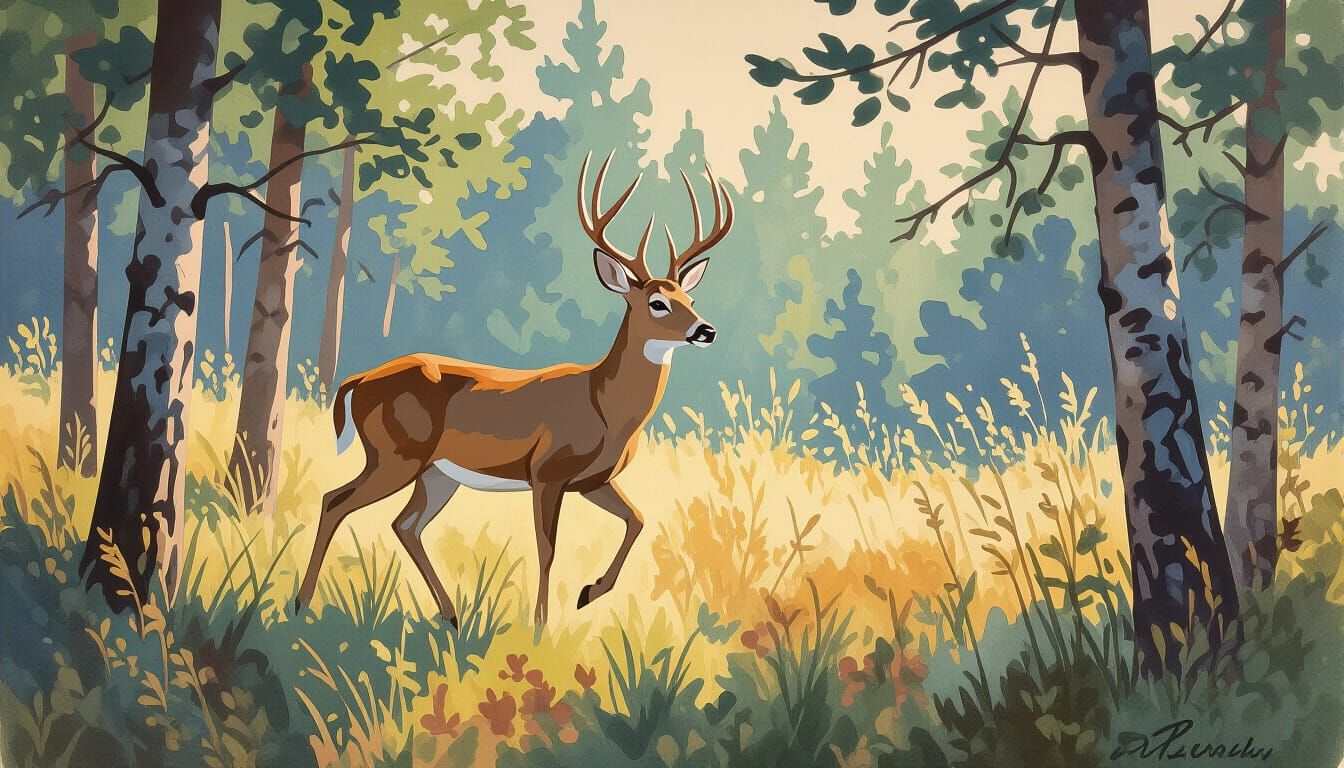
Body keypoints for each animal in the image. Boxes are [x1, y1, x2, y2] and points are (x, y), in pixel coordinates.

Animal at [293, 151, 735, 627]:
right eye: (657, 303)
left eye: (690, 300)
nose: (706, 330)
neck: (604, 406)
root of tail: (357, 381)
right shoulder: (546, 470)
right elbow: (547, 548)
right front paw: (541, 624)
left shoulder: (594, 480)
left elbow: (637, 519)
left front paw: (589, 592)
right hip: (394, 454)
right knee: (335, 501)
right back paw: (301, 603)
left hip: (435, 472)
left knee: (405, 525)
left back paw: (451, 615)